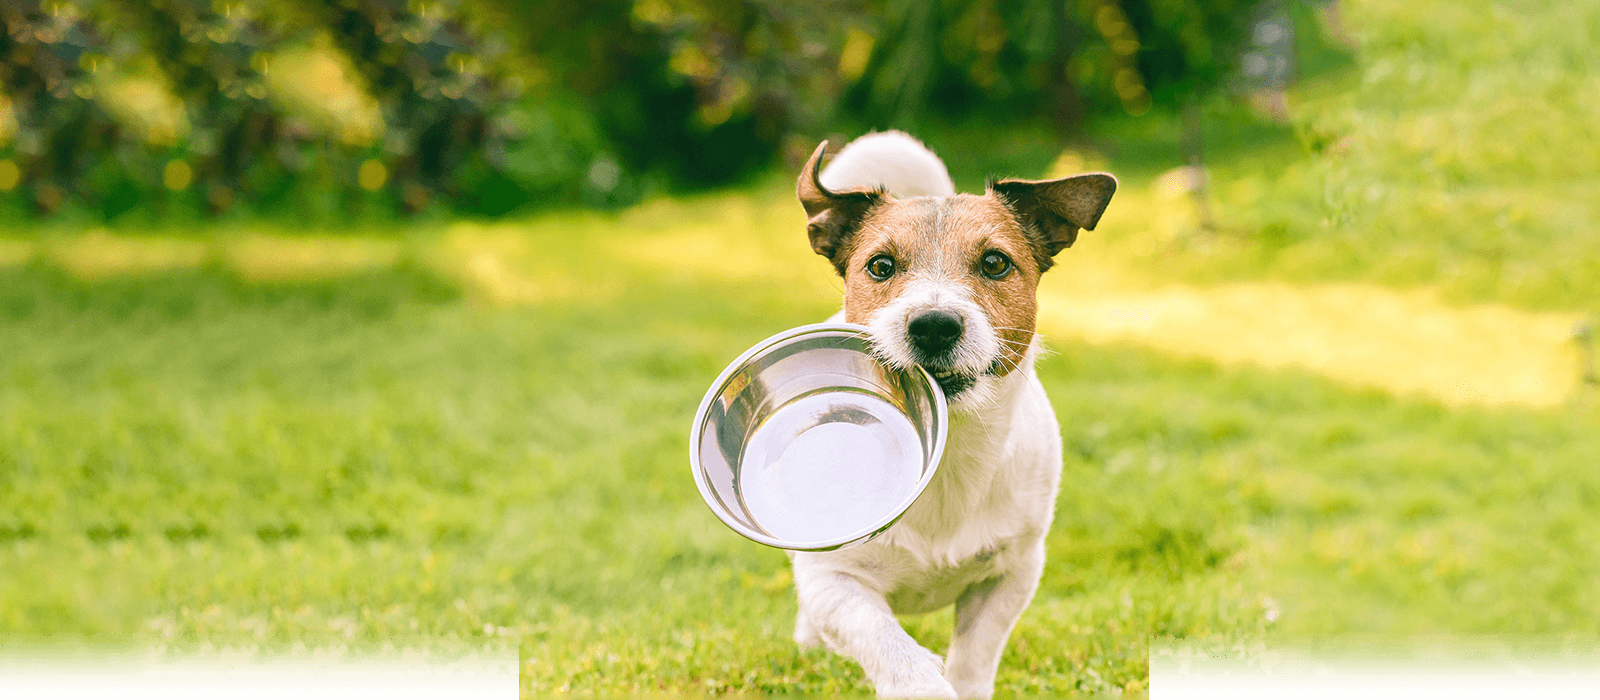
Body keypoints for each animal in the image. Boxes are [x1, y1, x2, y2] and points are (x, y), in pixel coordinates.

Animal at [784, 132, 1113, 700]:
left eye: (996, 263)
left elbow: (974, 658)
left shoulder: (1011, 575)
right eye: (880, 266)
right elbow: (884, 641)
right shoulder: (833, 581)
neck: (948, 452)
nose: (934, 325)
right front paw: (919, 682)